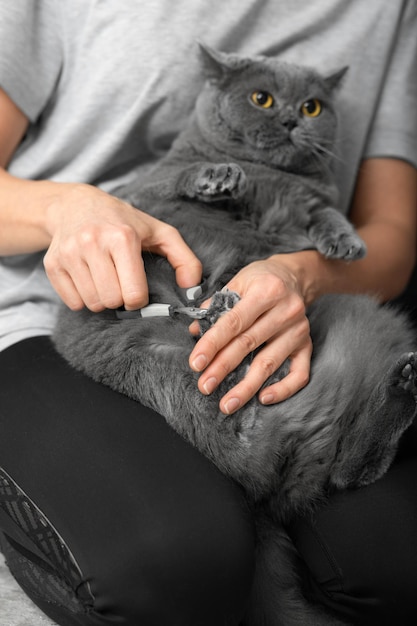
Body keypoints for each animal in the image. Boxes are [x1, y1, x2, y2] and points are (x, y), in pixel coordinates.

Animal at [54, 46, 416, 624]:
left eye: (313, 107)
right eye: (262, 99)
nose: (291, 119)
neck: (270, 179)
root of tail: (260, 500)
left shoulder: (314, 201)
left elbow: (327, 213)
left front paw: (347, 243)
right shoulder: (138, 195)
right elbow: (167, 184)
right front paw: (219, 178)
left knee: (342, 471)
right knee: (308, 466)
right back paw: (218, 310)